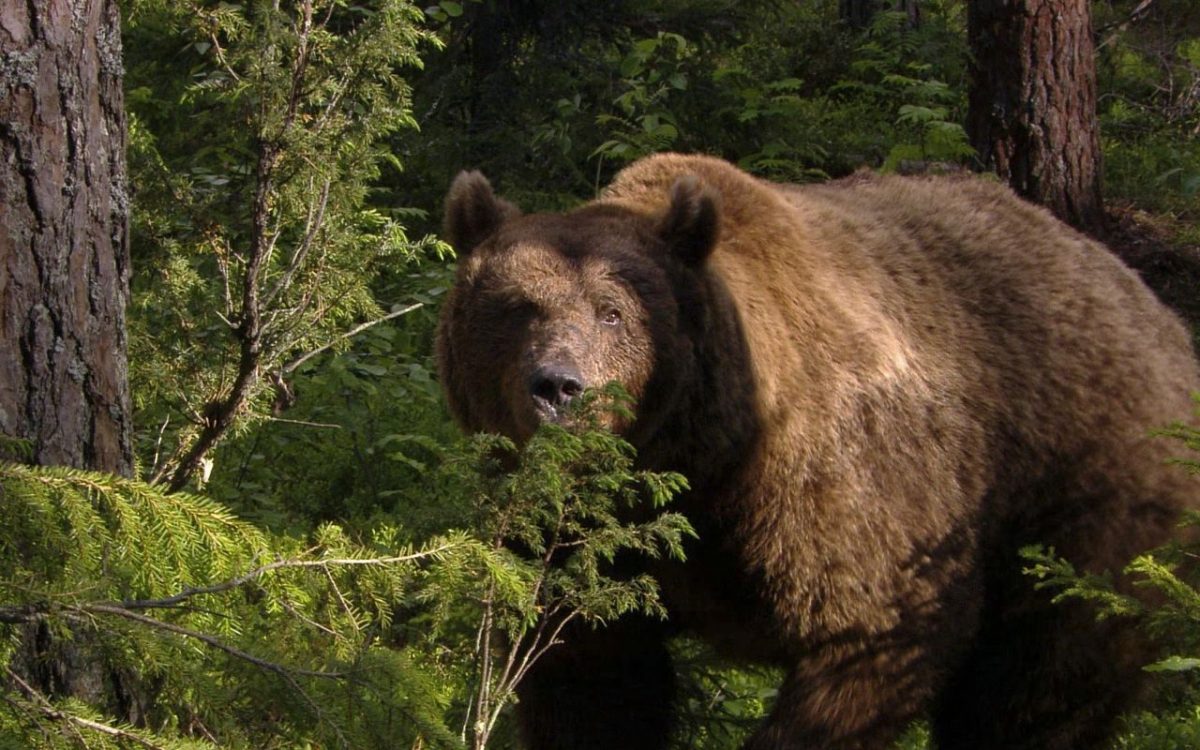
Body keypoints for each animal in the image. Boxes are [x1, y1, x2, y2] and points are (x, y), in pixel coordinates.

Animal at [435, 153, 1200, 750]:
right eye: (517, 307)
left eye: (613, 311)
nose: (559, 387)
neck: (700, 462)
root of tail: (1153, 308)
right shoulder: (581, 540)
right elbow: (591, 676)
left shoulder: (836, 491)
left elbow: (874, 633)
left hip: (1084, 504)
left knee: (1039, 686)